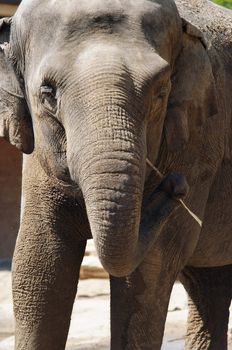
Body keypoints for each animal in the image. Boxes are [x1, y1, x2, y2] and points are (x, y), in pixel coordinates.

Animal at [0, 0, 232, 348]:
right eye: (47, 93)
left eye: (160, 92)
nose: (177, 185)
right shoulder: (38, 158)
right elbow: (40, 263)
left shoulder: (197, 142)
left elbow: (148, 274)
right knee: (209, 282)